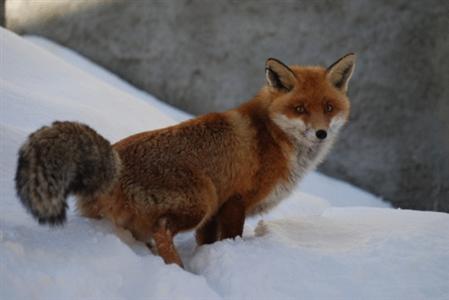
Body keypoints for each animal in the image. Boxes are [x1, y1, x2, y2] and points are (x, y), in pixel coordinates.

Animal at [15, 54, 356, 268]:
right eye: (300, 109)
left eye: (328, 107)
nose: (321, 133)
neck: (273, 136)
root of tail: (113, 161)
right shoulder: (233, 201)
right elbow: (230, 238)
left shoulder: (216, 213)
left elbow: (206, 243)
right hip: (202, 198)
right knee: (162, 230)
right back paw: (176, 268)